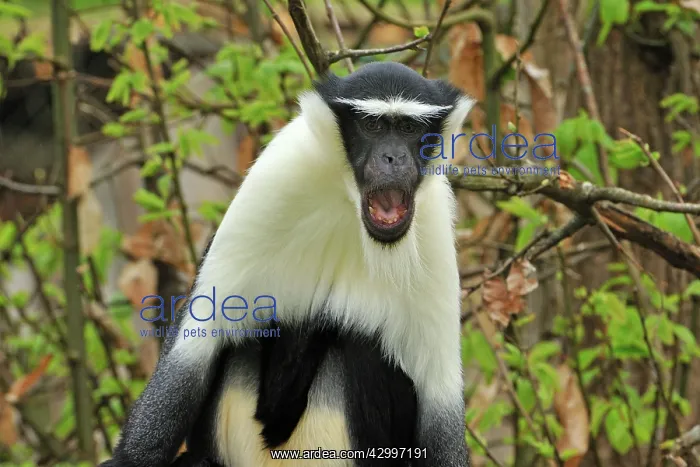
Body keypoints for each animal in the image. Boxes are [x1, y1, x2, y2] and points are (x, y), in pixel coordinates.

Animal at [100, 61, 475, 467]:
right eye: (372, 126)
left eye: (409, 129)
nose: (394, 159)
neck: (349, 202)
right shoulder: (275, 180)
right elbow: (195, 348)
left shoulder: (433, 229)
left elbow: (439, 418)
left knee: (359, 340)